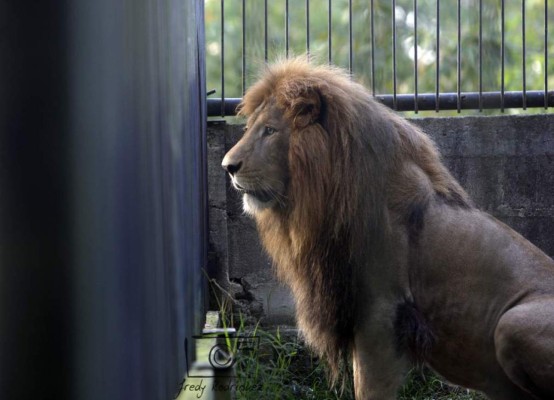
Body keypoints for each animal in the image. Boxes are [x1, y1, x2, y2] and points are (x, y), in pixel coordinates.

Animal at [220, 57, 552, 398]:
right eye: (250, 128)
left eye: (270, 130)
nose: (227, 167)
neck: (327, 195)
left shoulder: (382, 312)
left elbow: (370, 388)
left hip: (511, 324)